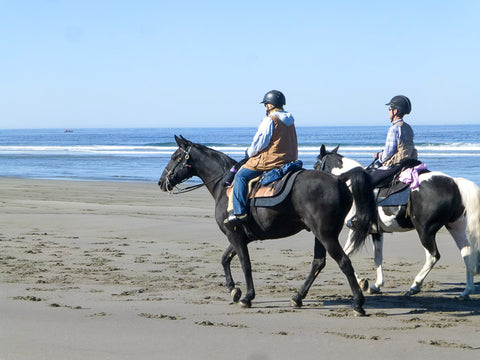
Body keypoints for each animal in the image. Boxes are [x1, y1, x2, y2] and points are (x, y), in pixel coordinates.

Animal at [159, 135, 376, 316]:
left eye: (175, 156)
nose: (162, 182)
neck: (224, 184)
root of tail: (339, 179)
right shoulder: (239, 236)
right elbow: (225, 258)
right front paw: (233, 289)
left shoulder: (234, 235)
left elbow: (245, 264)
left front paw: (247, 296)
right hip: (320, 234)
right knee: (318, 262)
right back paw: (297, 298)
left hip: (326, 235)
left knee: (344, 262)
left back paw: (358, 304)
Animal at [316, 145, 480, 300]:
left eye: (317, 165)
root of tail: (454, 183)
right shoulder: (376, 232)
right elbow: (377, 257)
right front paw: (376, 285)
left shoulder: (356, 227)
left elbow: (347, 253)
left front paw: (363, 282)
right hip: (455, 226)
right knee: (467, 254)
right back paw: (466, 292)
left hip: (425, 230)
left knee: (433, 256)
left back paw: (415, 286)